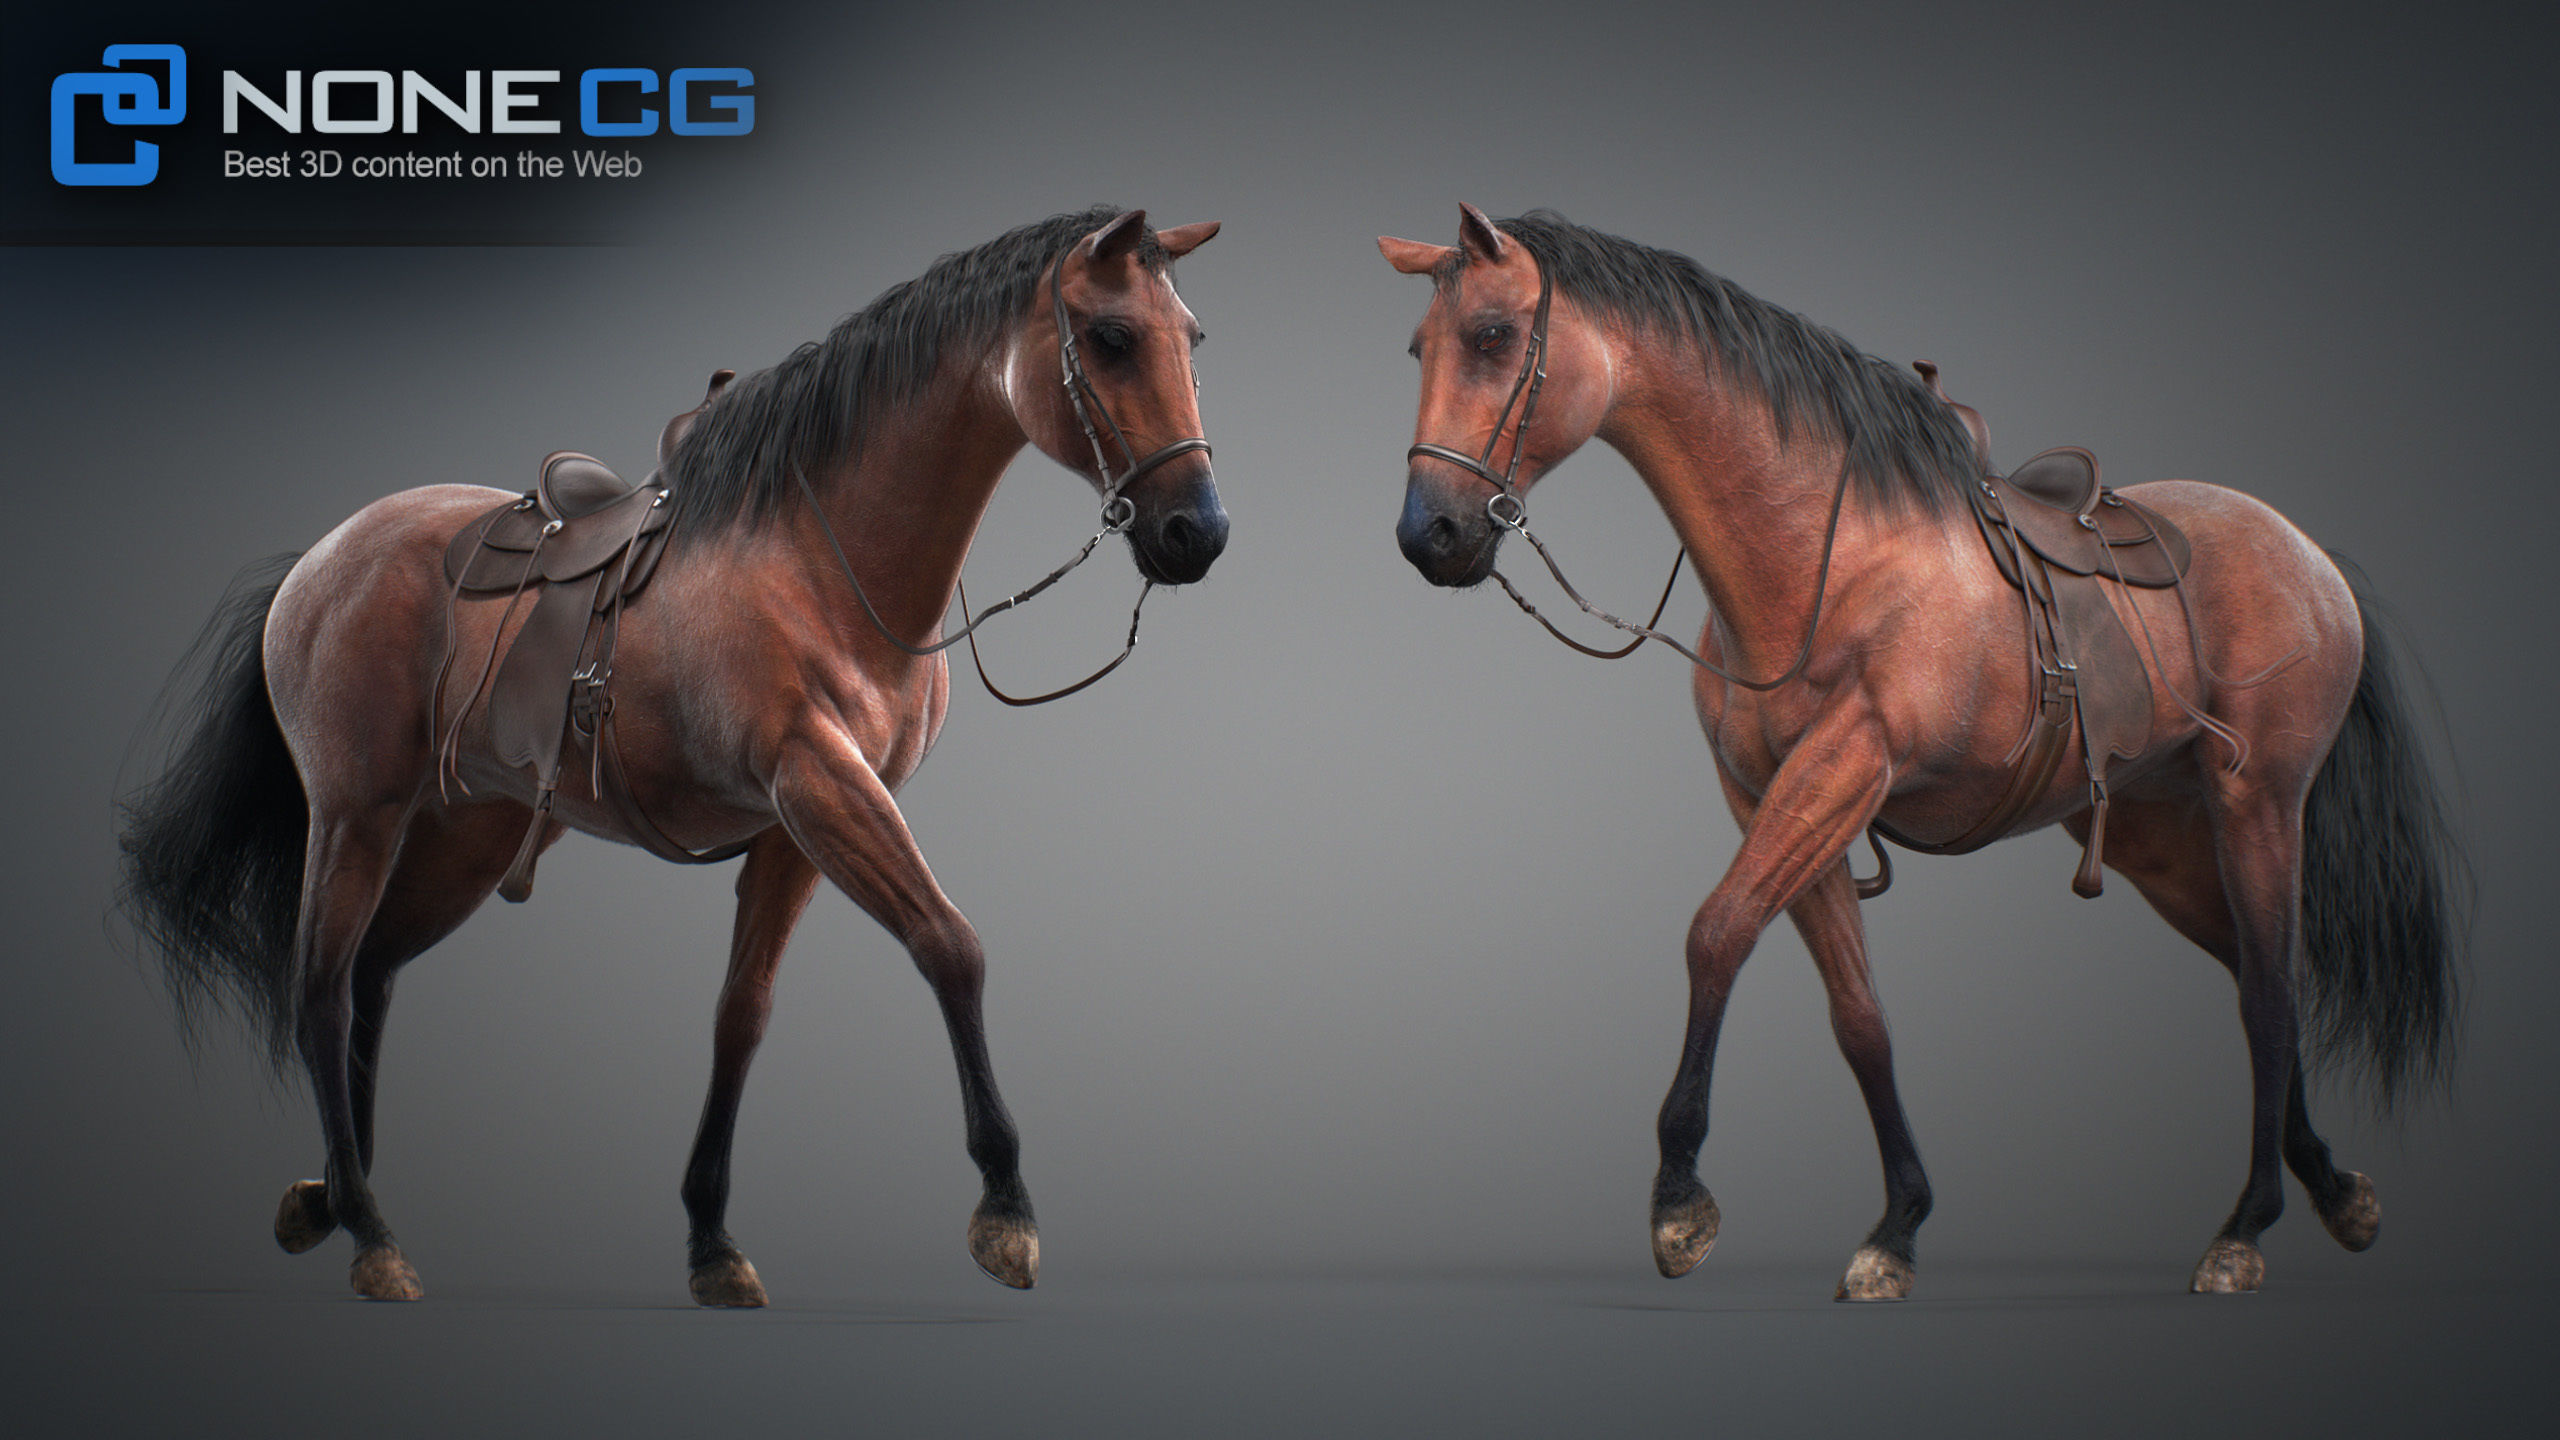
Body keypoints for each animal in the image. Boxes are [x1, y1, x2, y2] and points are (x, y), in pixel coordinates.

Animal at [118, 205, 1228, 1304]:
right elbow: (950, 946)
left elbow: (742, 1013)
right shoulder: (821, 785)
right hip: (356, 814)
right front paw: (1005, 1209)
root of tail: (318, 561)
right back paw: (370, 1234)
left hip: (465, 833)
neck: (819, 561)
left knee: (374, 973)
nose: (1199, 533)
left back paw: (329, 1195)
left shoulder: (793, 830)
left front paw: (709, 1237)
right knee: (319, 984)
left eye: (1194, 338)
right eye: (1111, 337)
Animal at [1379, 205, 2465, 1299]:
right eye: (1420, 348)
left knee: (2274, 987)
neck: (1829, 561)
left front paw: (1678, 1201)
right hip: (2155, 839)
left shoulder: (1845, 768)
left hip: (2259, 804)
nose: (1429, 535)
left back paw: (2245, 1228)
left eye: (1493, 337)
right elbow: (1858, 1015)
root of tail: (2310, 558)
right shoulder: (1775, 800)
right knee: (2253, 969)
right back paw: (2332, 1189)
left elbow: (1716, 932)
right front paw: (1897, 1225)